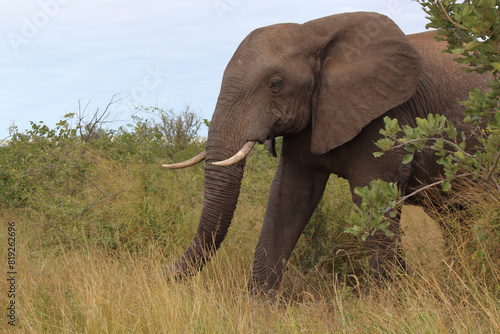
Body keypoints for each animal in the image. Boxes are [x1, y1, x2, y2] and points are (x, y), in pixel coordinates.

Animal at [164, 11, 488, 294]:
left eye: (276, 85)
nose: (162, 274)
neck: (314, 34)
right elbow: (289, 196)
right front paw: (259, 307)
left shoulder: (385, 114)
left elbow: (372, 196)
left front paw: (393, 303)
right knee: (454, 215)